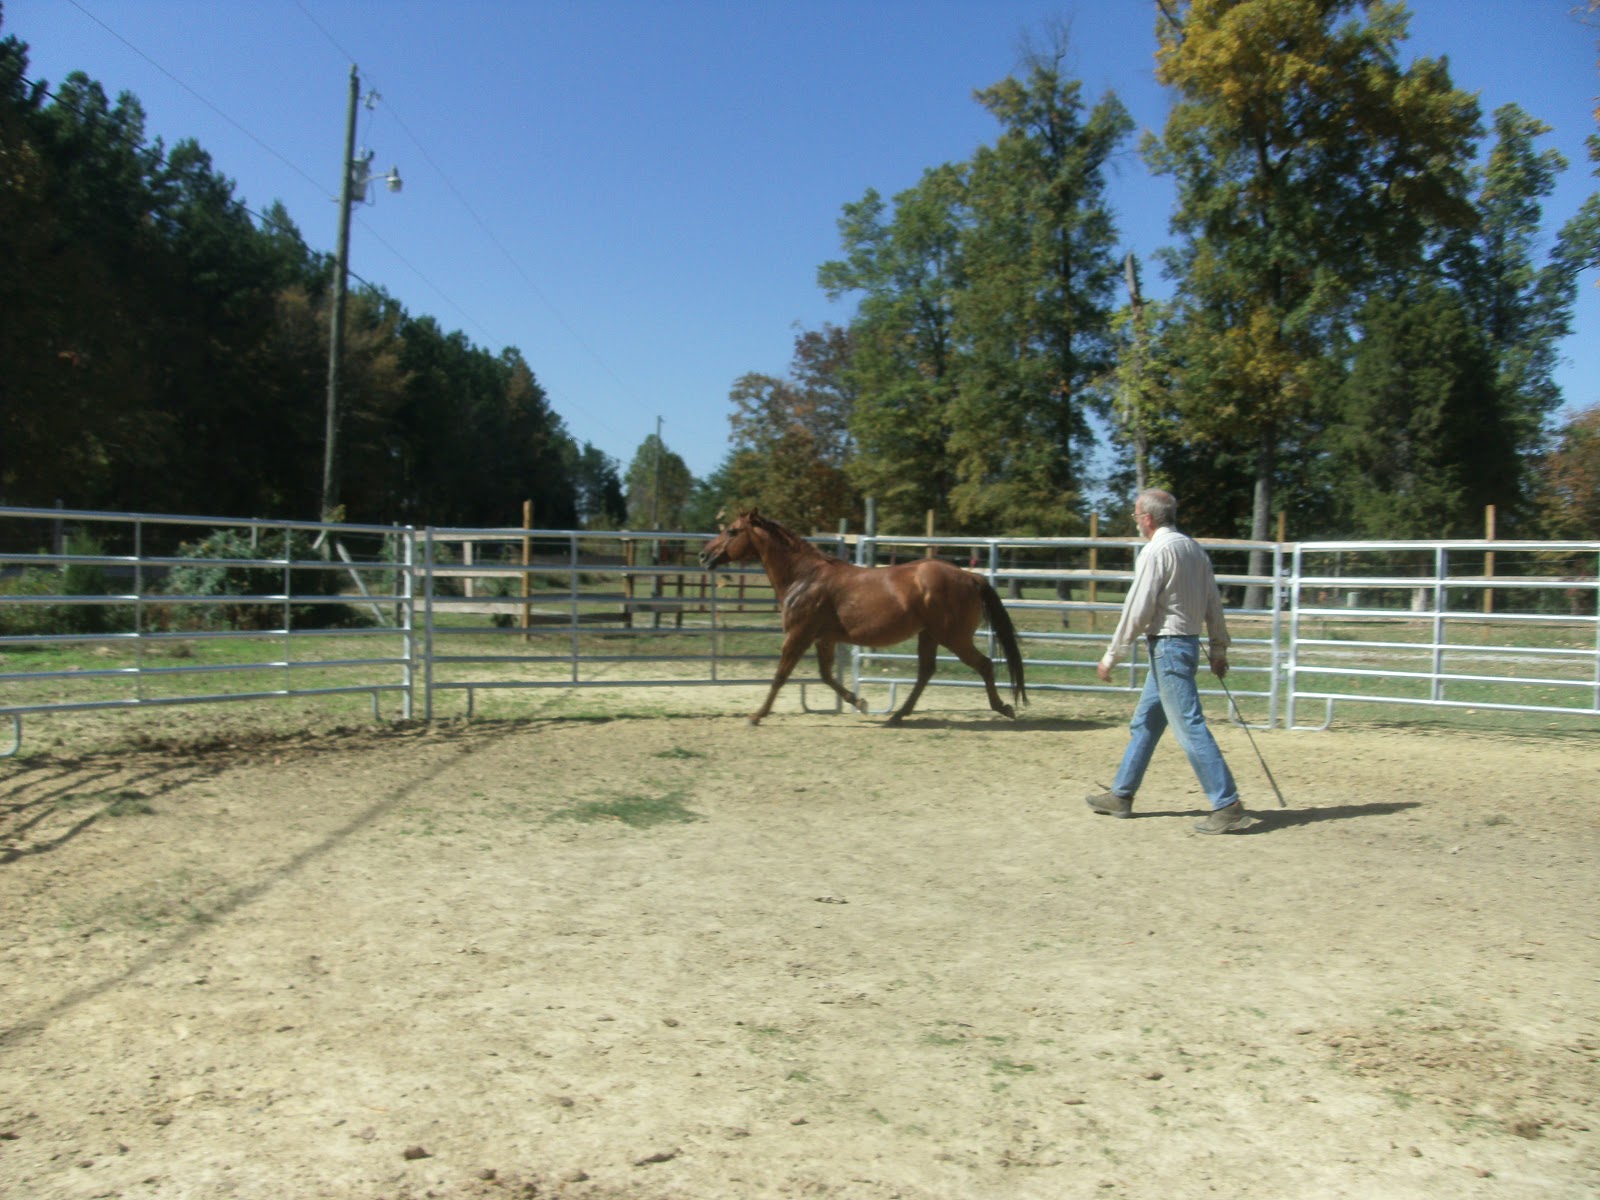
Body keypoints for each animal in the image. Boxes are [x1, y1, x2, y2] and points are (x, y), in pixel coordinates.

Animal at [698, 510, 1027, 725]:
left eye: (732, 531)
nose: (703, 555)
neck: (804, 578)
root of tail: (971, 576)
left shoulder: (799, 635)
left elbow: (781, 676)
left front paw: (756, 716)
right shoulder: (823, 639)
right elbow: (826, 676)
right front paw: (861, 702)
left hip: (953, 637)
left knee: (983, 664)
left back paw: (1004, 708)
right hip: (929, 635)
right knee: (926, 672)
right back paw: (897, 715)